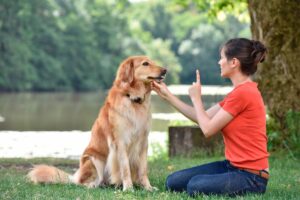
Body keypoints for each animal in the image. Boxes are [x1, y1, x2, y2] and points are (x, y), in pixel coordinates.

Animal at [27, 55, 166, 191]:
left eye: (152, 62)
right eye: (145, 63)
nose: (165, 70)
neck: (132, 99)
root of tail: (75, 176)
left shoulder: (143, 141)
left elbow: (143, 169)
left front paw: (147, 187)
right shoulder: (120, 141)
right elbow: (125, 168)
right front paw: (128, 188)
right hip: (93, 160)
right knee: (82, 182)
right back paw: (94, 185)